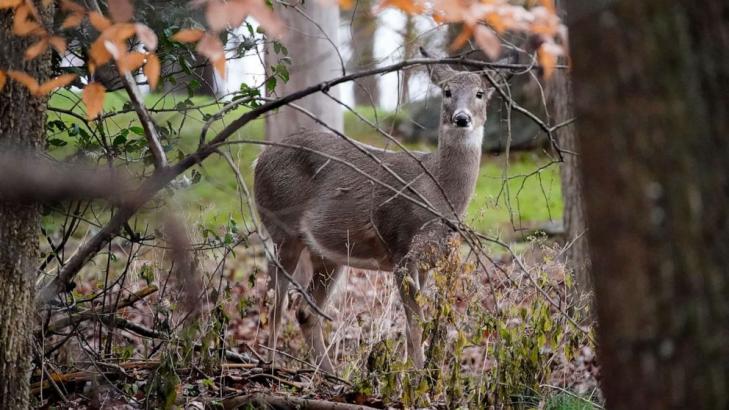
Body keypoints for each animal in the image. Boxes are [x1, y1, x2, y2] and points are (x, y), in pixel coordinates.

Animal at [253, 63, 498, 372]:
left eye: (479, 93)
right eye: (447, 91)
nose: (462, 118)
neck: (435, 192)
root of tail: (259, 158)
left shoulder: (428, 260)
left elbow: (412, 325)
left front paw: (410, 375)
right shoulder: (400, 246)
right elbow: (415, 324)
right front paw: (419, 377)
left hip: (328, 254)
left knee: (305, 311)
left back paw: (330, 375)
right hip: (281, 228)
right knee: (275, 304)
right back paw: (271, 365)